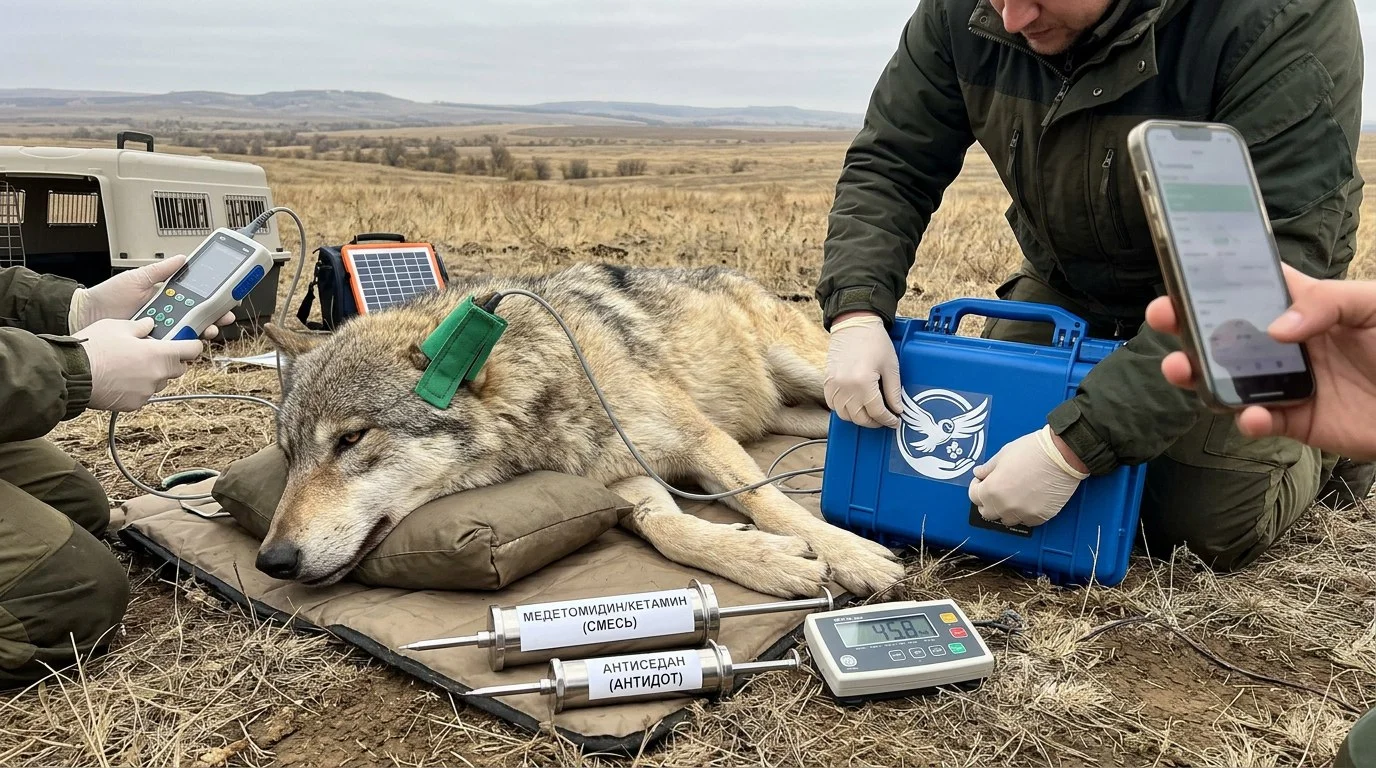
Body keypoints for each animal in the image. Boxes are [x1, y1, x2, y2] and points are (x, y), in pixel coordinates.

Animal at [256, 262, 905, 599]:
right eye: (290, 457)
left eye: (350, 440)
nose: (272, 561)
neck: (556, 378)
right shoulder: (620, 480)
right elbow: (669, 532)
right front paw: (766, 559)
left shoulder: (702, 440)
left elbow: (771, 504)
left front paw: (851, 555)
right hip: (789, 411)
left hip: (820, 376)